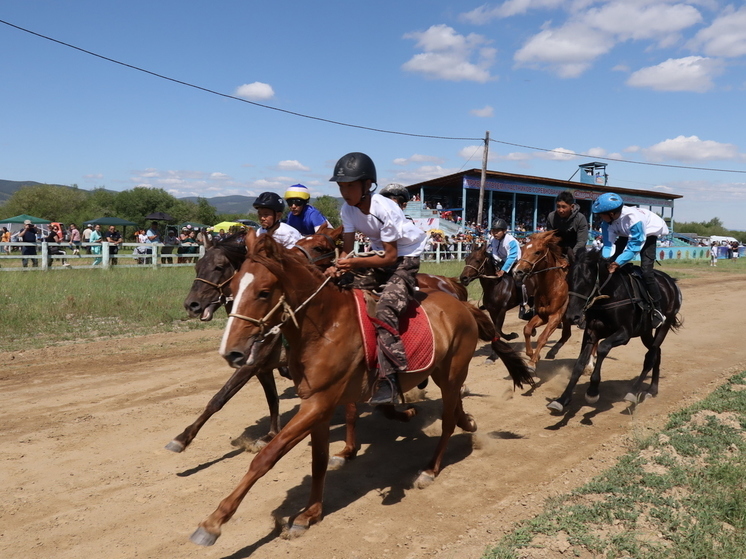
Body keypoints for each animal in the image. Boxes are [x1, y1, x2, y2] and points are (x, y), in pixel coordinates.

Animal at [189, 229, 532, 548]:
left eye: (263, 292)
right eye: (233, 287)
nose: (231, 351)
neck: (325, 327)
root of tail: (461, 303)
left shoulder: (318, 402)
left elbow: (267, 457)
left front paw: (213, 523)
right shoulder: (317, 404)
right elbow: (319, 459)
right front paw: (310, 513)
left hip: (451, 372)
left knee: (447, 420)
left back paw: (430, 469)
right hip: (444, 373)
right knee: (454, 408)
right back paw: (466, 422)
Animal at [508, 230, 572, 374]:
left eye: (537, 252)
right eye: (523, 249)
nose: (517, 272)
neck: (552, 287)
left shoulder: (555, 317)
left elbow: (543, 338)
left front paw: (532, 363)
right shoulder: (542, 316)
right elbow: (527, 329)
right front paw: (532, 355)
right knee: (567, 334)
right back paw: (552, 352)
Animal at [548, 247, 680, 414]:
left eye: (587, 281)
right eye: (568, 279)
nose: (572, 316)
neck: (609, 296)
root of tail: (671, 282)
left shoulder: (624, 334)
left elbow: (603, 347)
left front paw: (592, 390)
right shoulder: (591, 332)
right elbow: (579, 364)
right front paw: (562, 399)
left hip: (664, 324)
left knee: (651, 356)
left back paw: (634, 391)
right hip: (645, 331)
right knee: (657, 351)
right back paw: (652, 389)